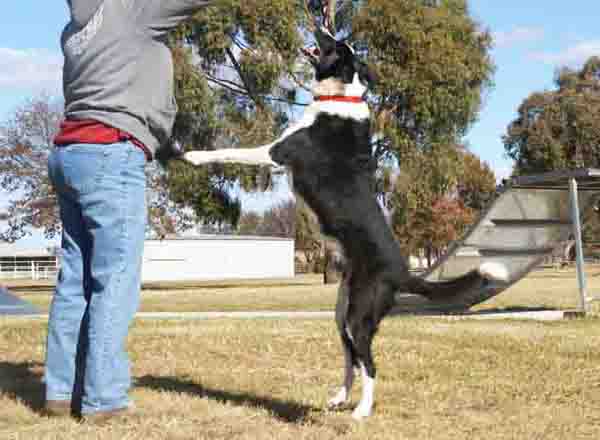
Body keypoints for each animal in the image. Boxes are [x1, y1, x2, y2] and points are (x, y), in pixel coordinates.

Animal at [184, 27, 506, 420]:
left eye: (334, 44)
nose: (322, 26)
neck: (341, 95)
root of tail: (404, 273)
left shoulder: (276, 153)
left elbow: (229, 151)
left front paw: (192, 155)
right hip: (343, 312)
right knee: (351, 356)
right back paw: (339, 398)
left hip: (358, 314)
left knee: (369, 363)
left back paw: (361, 411)